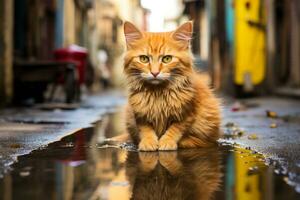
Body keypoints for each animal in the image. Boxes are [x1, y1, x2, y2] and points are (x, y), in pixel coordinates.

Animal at [122, 21, 220, 151]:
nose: (154, 73)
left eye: (167, 59)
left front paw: (166, 142)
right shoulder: (140, 114)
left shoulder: (186, 114)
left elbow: (175, 129)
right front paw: (148, 142)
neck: (158, 93)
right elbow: (146, 129)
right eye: (144, 59)